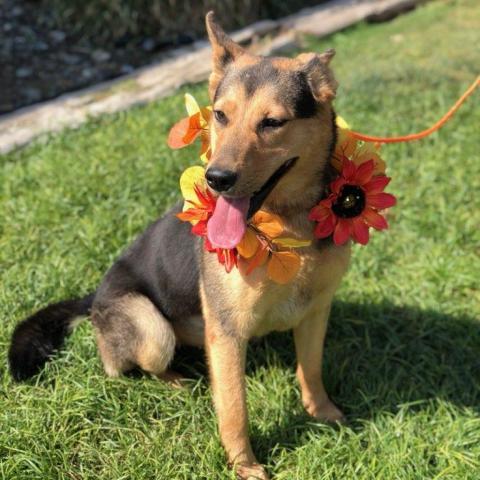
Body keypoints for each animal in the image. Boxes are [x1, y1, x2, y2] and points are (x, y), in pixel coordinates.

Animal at [9, 12, 350, 480]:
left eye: (272, 123)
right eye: (220, 116)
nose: (217, 179)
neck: (287, 222)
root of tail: (93, 298)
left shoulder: (316, 311)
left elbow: (310, 370)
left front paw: (322, 412)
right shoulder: (226, 334)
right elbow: (234, 410)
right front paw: (245, 466)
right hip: (151, 327)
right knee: (130, 367)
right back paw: (179, 382)